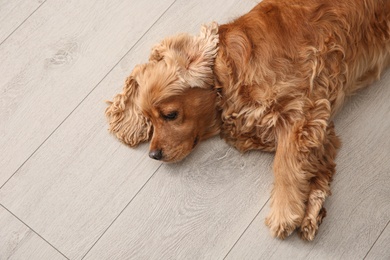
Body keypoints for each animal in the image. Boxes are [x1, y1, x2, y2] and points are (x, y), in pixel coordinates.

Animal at [104, 0, 390, 241]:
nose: (153, 155)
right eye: (148, 118)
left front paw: (285, 212)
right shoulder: (321, 128)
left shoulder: (302, 111)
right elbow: (316, 165)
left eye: (170, 115)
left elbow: (285, 164)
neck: (229, 76)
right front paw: (310, 211)